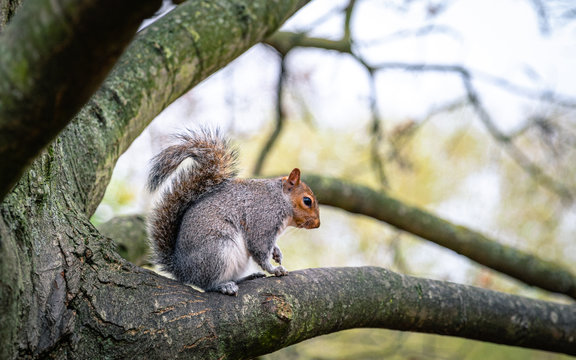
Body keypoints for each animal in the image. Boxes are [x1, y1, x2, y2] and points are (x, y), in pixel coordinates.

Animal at [146, 129, 320, 296]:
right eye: (307, 201)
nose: (317, 224)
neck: (280, 199)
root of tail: (182, 269)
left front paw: (277, 253)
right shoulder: (262, 220)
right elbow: (260, 250)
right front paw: (274, 269)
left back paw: (248, 277)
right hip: (218, 251)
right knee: (206, 284)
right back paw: (223, 286)